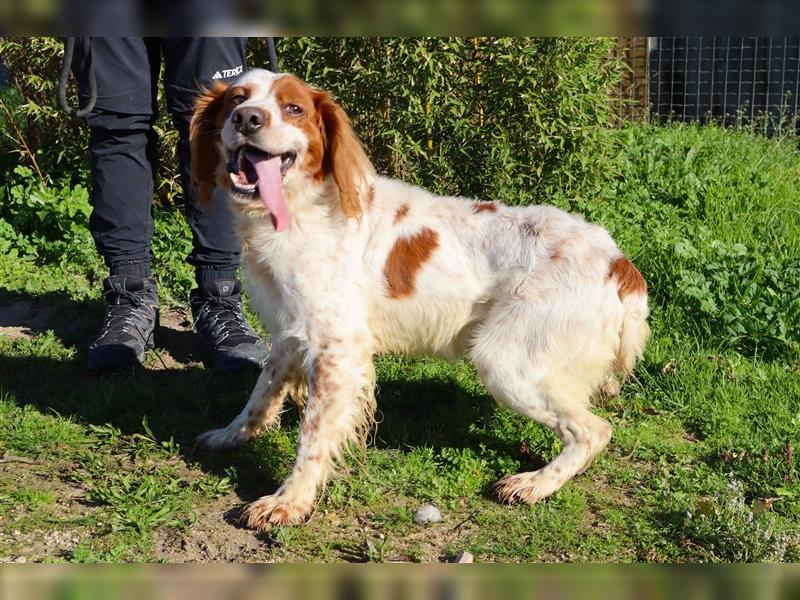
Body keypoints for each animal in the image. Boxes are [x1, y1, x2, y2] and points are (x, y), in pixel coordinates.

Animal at [192, 69, 648, 528]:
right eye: (236, 99)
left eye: (293, 108)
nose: (246, 119)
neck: (305, 208)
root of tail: (619, 263)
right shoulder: (290, 332)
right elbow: (261, 394)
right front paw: (231, 435)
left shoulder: (338, 348)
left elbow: (313, 435)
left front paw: (288, 501)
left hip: (507, 362)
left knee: (594, 431)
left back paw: (534, 484)